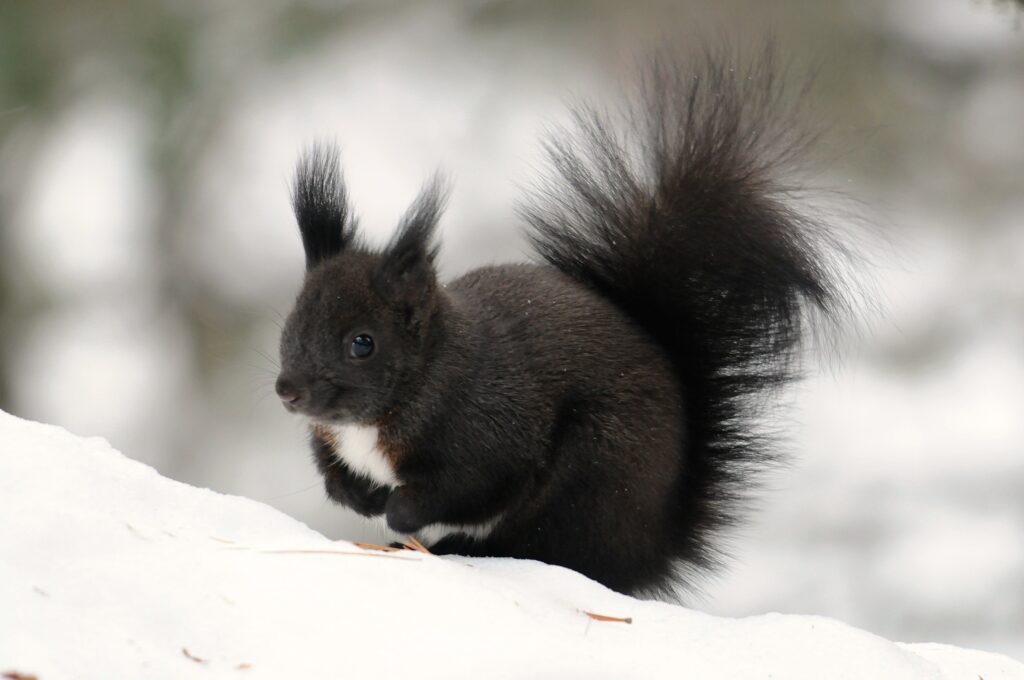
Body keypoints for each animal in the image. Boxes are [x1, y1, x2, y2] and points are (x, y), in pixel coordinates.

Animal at [274, 48, 847, 597]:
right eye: (290, 325)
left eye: (362, 343)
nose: (288, 391)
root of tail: (654, 547)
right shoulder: (333, 441)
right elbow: (333, 473)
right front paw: (359, 496)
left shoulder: (491, 433)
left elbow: (465, 488)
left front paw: (397, 510)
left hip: (590, 478)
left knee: (550, 548)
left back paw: (460, 546)